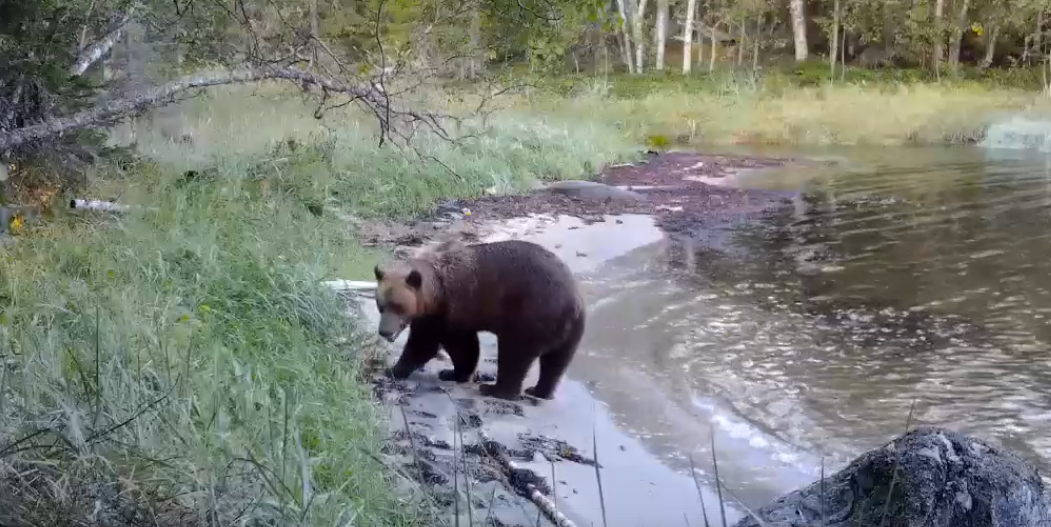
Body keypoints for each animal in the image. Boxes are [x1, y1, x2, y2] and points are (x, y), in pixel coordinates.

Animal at [373, 239, 586, 401]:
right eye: (380, 305)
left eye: (398, 306)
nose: (384, 331)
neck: (435, 292)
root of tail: (571, 302)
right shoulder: (457, 316)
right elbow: (464, 347)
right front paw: (453, 373)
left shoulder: (444, 311)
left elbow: (424, 344)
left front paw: (393, 369)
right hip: (573, 328)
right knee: (556, 361)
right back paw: (539, 390)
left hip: (531, 314)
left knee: (515, 353)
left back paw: (497, 390)